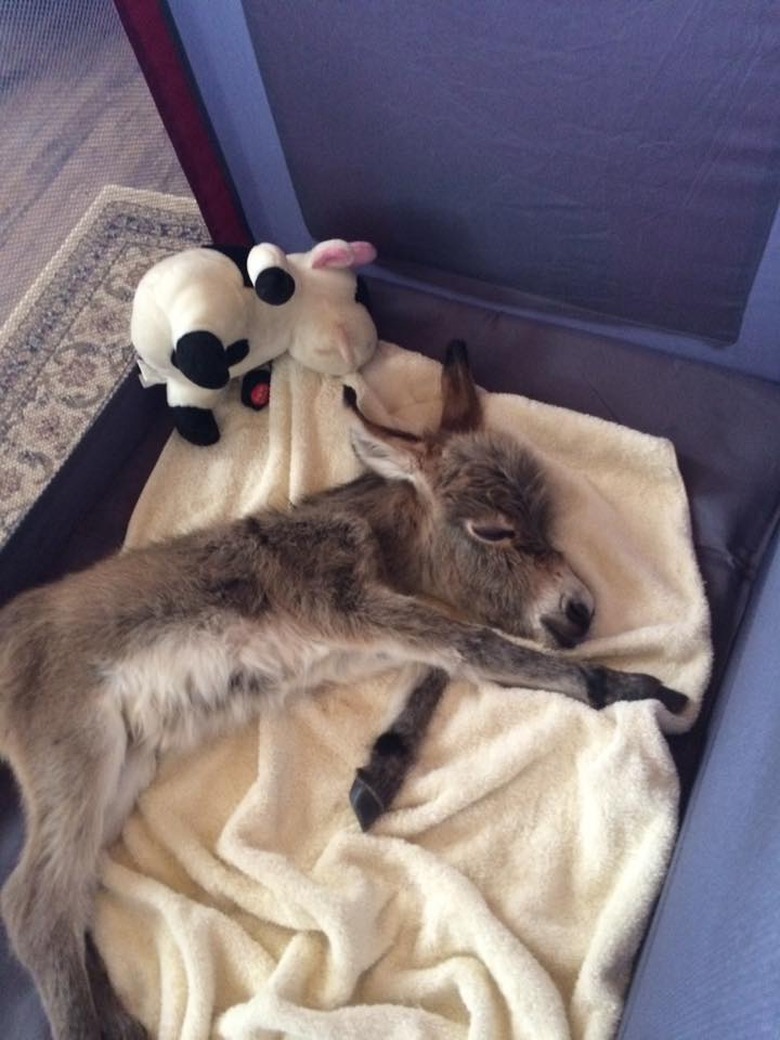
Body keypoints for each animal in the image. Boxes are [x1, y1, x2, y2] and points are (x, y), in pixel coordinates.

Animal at [0, 336, 686, 1035]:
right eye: (492, 529)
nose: (582, 611)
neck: (380, 545)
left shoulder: (373, 638)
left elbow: (448, 663)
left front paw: (381, 771)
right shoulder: (349, 607)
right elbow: (476, 645)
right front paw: (625, 685)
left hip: (123, 769)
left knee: (71, 895)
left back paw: (117, 1019)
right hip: (77, 750)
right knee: (31, 907)